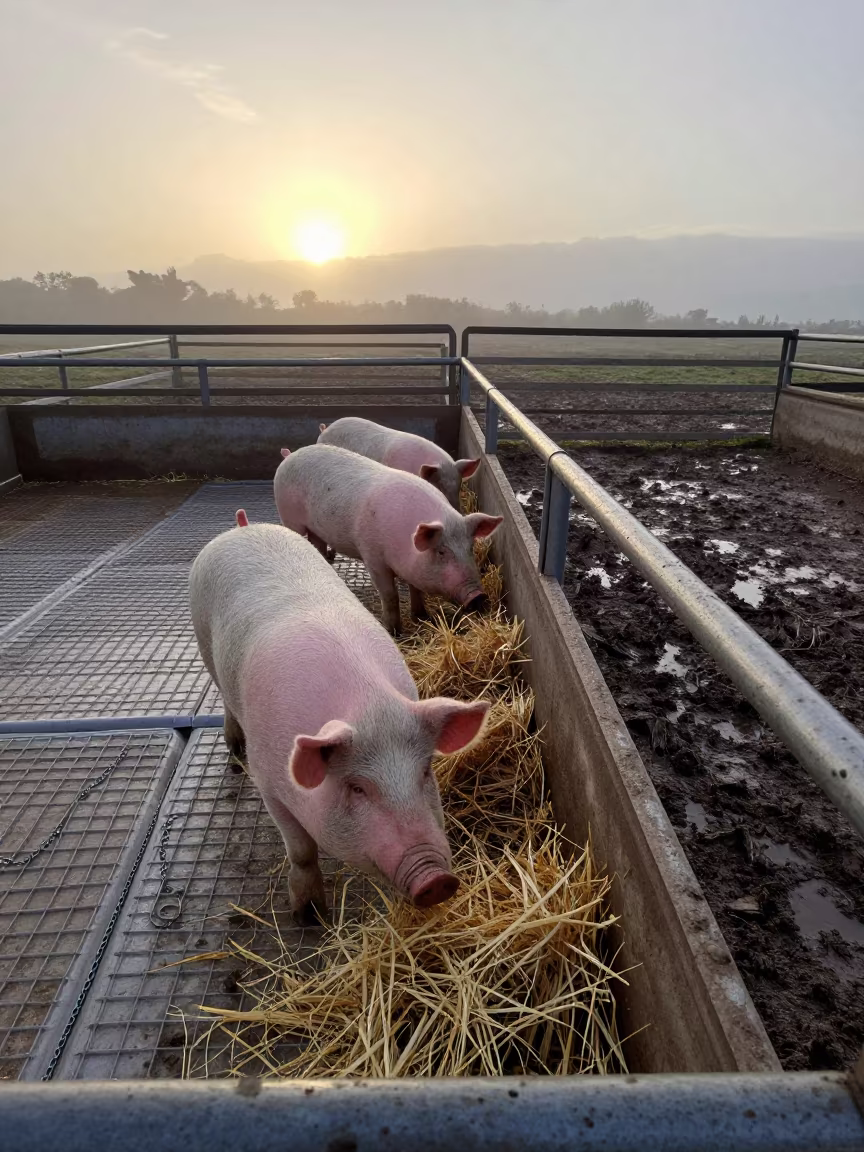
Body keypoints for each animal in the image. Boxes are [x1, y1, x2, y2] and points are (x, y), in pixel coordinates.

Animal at [189, 518, 490, 920]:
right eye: (357, 787)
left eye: (425, 772)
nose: (437, 880)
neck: (367, 706)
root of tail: (243, 526)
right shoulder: (269, 784)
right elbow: (302, 852)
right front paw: (308, 916)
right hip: (204, 642)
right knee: (223, 696)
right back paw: (234, 749)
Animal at [274, 443, 503, 635]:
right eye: (441, 552)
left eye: (470, 548)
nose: (478, 596)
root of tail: (291, 454)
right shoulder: (372, 556)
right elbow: (390, 595)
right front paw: (394, 632)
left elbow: (416, 589)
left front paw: (422, 617)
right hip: (288, 515)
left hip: (317, 528)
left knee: (318, 544)